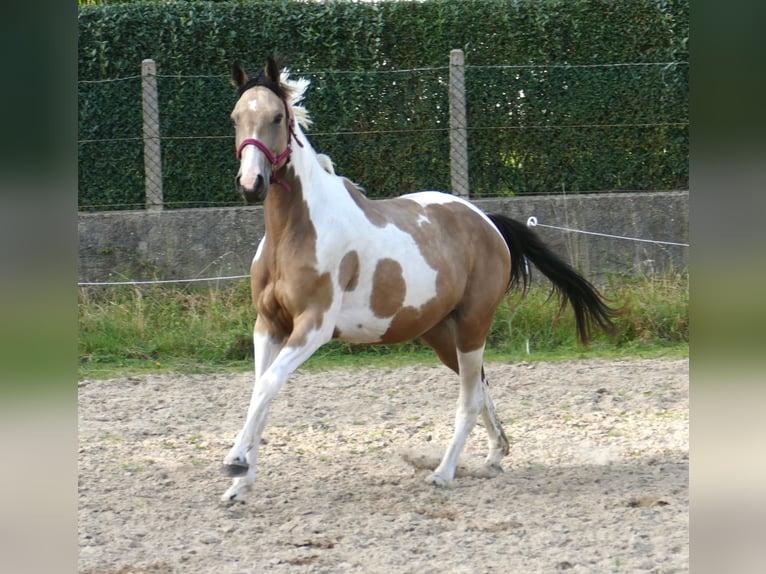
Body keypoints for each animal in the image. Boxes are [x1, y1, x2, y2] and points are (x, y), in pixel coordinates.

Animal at [222, 56, 616, 502]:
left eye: (276, 117)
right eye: (236, 117)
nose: (251, 184)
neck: (293, 232)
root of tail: (487, 222)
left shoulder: (313, 327)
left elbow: (267, 385)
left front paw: (235, 462)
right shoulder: (269, 325)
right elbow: (261, 390)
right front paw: (240, 483)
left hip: (473, 325)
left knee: (469, 397)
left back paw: (443, 472)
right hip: (439, 331)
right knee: (480, 386)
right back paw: (495, 456)